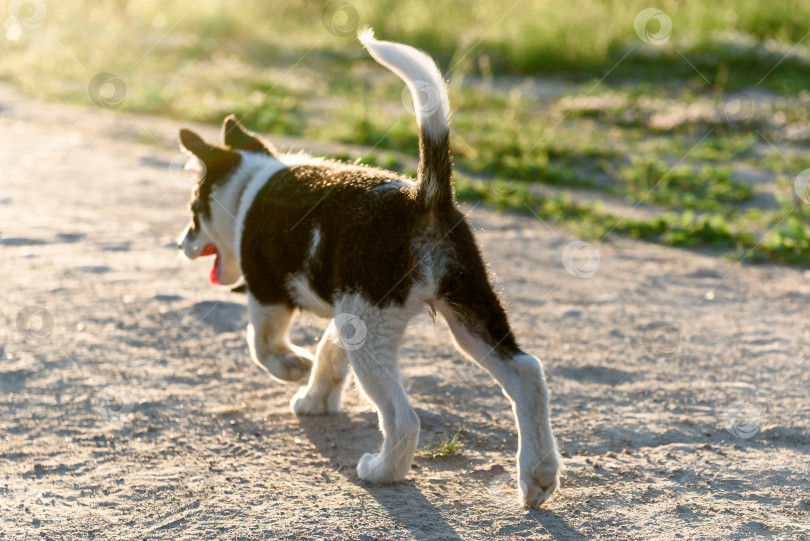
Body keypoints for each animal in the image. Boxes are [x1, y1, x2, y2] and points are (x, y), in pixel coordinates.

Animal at [175, 29, 560, 504]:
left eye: (193, 211)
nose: (181, 244)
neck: (249, 185)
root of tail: (424, 198)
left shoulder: (269, 295)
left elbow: (262, 345)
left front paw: (292, 368)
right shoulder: (345, 310)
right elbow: (328, 351)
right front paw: (316, 398)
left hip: (374, 331)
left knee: (404, 419)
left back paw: (381, 471)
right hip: (465, 307)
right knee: (527, 374)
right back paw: (538, 476)